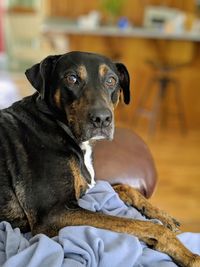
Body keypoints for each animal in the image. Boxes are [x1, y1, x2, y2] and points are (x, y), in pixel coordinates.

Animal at [0, 51, 199, 266]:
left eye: (111, 80)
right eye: (72, 78)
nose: (102, 119)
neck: (56, 124)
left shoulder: (87, 189)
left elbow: (126, 187)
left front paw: (164, 215)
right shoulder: (53, 214)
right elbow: (144, 225)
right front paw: (189, 256)